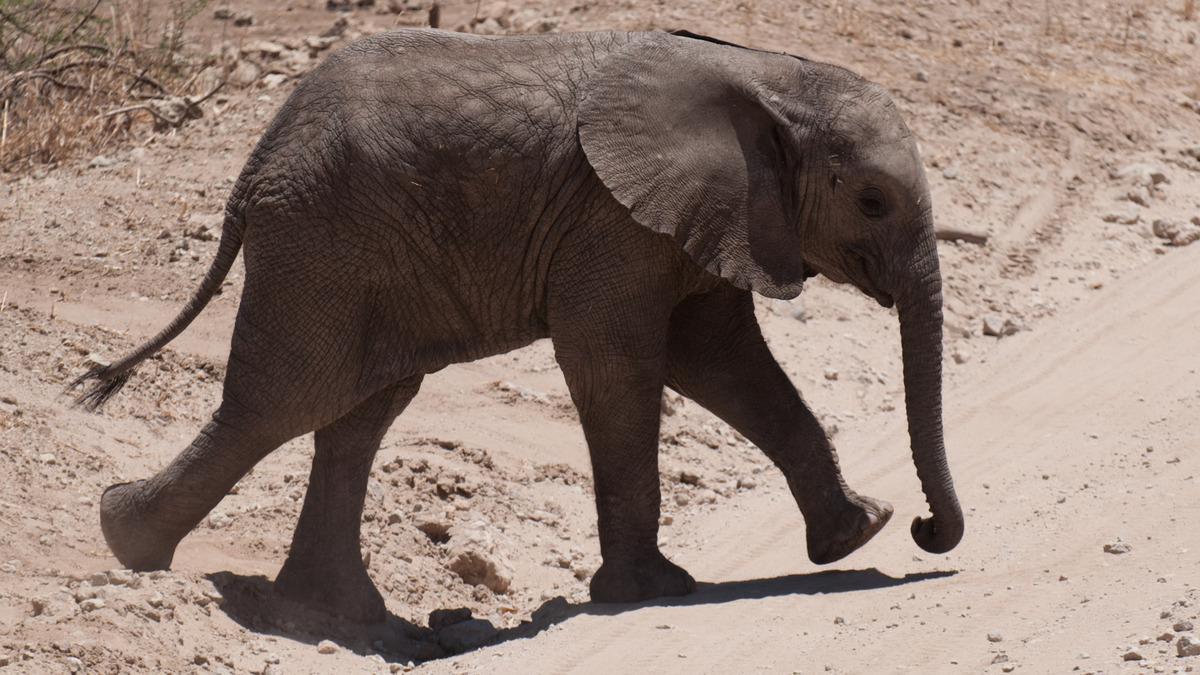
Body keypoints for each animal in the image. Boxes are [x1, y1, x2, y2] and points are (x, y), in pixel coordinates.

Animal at [75, 28, 960, 624]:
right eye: (872, 201)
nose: (928, 529)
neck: (769, 74)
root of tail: (253, 166)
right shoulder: (614, 221)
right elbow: (619, 364)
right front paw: (652, 592)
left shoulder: (712, 216)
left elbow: (723, 361)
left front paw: (857, 533)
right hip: (320, 241)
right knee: (283, 403)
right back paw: (127, 544)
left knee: (359, 412)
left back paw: (337, 613)